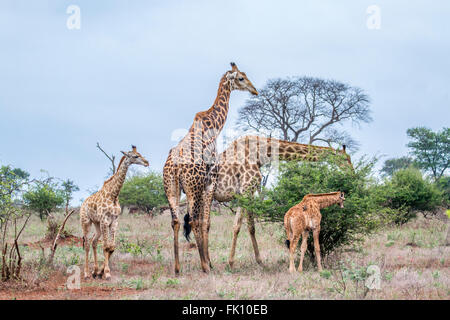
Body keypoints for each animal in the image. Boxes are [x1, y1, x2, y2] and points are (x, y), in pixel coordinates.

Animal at [79, 146, 149, 278]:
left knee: (93, 241)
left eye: (140, 154)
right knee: (86, 244)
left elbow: (111, 247)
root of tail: (83, 204)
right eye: (135, 156)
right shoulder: (105, 221)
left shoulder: (114, 221)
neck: (114, 195)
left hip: (97, 223)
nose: (147, 162)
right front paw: (106, 273)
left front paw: (102, 271)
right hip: (86, 222)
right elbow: (106, 246)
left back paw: (95, 270)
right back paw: (86, 273)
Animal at [163, 63, 258, 276]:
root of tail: (175, 167)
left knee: (175, 221)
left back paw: (177, 268)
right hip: (192, 188)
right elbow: (205, 222)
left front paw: (209, 261)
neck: (213, 125)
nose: (254, 90)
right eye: (241, 78)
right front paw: (208, 262)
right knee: (193, 221)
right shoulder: (210, 181)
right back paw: (204, 266)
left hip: (171, 188)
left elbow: (204, 222)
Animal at [183, 135, 352, 268]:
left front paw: (257, 261)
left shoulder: (247, 192)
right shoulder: (246, 189)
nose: (352, 172)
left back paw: (206, 262)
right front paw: (233, 263)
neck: (262, 153)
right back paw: (207, 263)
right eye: (345, 159)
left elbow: (247, 226)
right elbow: (239, 226)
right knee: (203, 223)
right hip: (206, 193)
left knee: (196, 222)